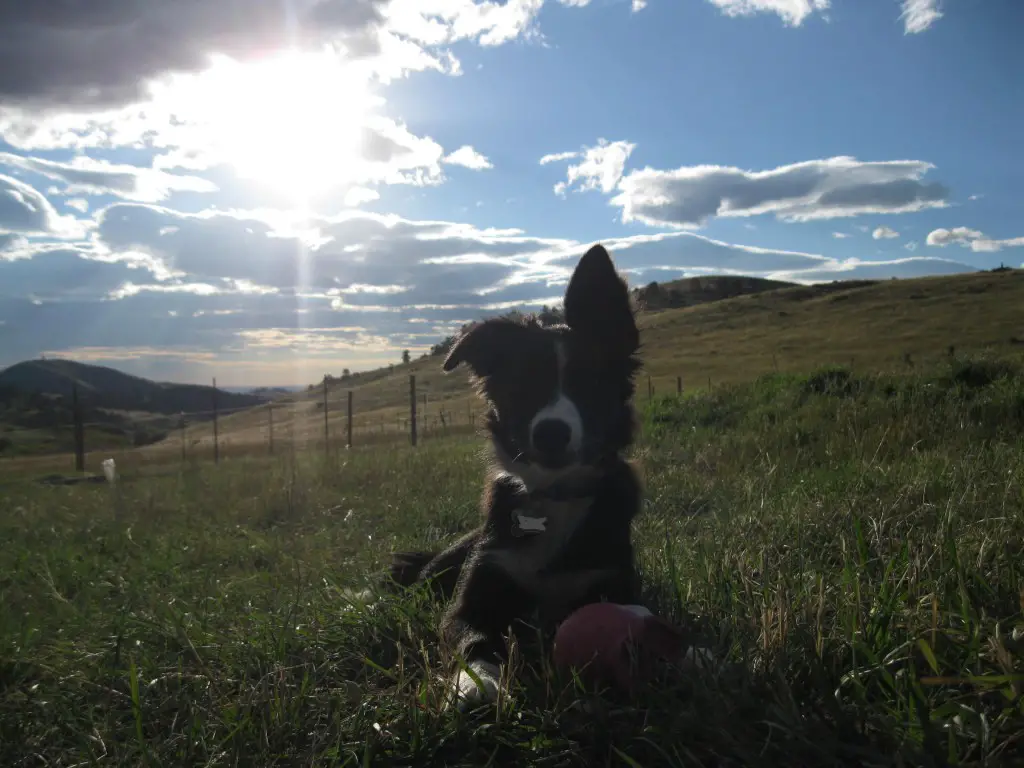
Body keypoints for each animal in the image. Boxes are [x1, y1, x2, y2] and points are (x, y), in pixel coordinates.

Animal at [387, 244, 643, 708]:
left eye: (589, 384)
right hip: (443, 566)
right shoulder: (476, 591)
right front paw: (475, 682)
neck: (552, 499)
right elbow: (472, 636)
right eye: (523, 387)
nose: (551, 432)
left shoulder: (611, 582)